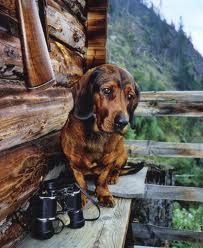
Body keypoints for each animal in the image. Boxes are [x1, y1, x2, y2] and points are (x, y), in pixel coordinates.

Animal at [60, 64, 140, 207]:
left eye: (130, 96)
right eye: (107, 90)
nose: (123, 122)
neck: (97, 134)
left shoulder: (108, 164)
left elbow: (102, 179)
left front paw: (104, 194)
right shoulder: (73, 165)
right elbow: (80, 183)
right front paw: (81, 196)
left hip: (123, 154)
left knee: (117, 169)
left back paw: (113, 176)